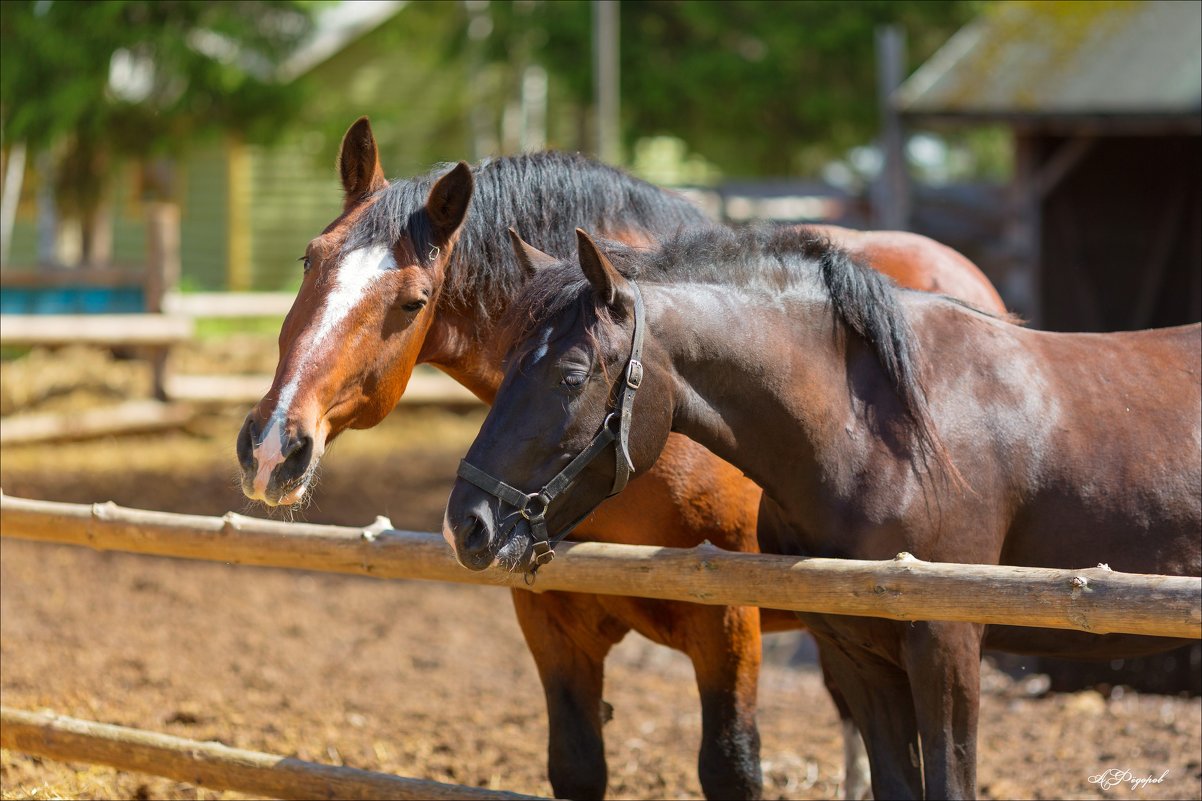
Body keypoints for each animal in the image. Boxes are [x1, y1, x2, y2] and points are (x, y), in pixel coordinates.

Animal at [234, 118, 1004, 798]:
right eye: (310, 260)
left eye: (412, 300)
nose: (274, 445)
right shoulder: (553, 628)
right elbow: (577, 768)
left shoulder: (729, 627)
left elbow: (731, 768)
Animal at [444, 226, 1202, 798]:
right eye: (504, 365)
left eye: (571, 375)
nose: (468, 522)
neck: (879, 432)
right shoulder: (856, 653)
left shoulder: (946, 644)